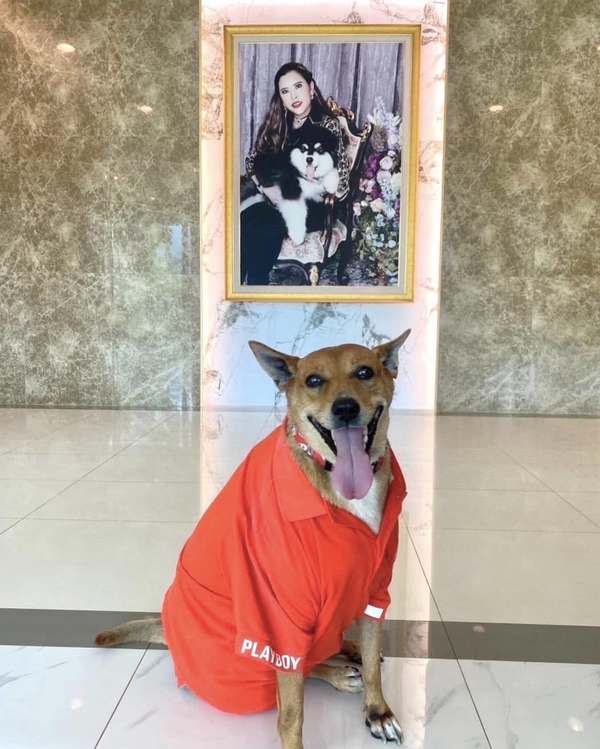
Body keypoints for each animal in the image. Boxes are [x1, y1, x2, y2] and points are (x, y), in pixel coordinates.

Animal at [95, 334, 412, 748]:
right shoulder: (280, 616)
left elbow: (374, 658)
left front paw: (378, 711)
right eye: (313, 380)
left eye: (364, 372)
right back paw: (338, 670)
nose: (345, 408)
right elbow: (291, 712)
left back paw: (349, 648)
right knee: (300, 669)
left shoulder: (376, 591)